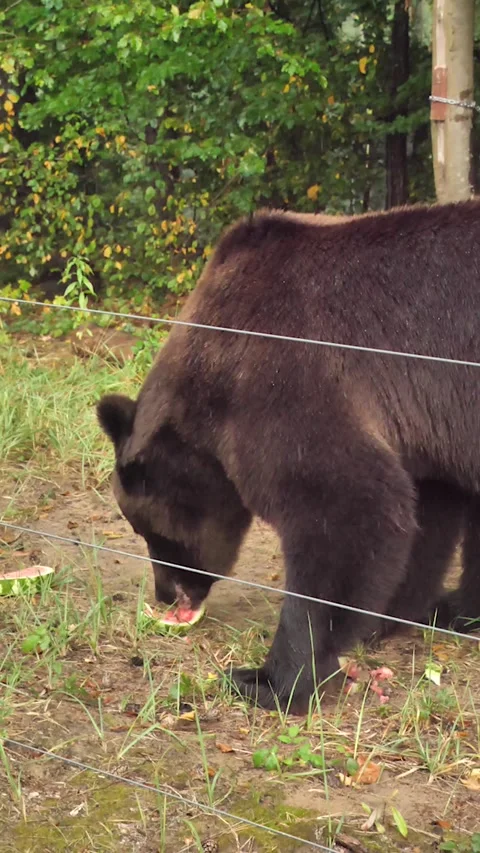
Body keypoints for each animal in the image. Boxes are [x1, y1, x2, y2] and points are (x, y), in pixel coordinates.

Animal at [97, 200, 480, 712]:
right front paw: (388, 616)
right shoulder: (422, 429)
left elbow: (344, 506)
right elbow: (426, 515)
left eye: (150, 530)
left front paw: (270, 678)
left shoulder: (287, 372)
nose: (165, 595)